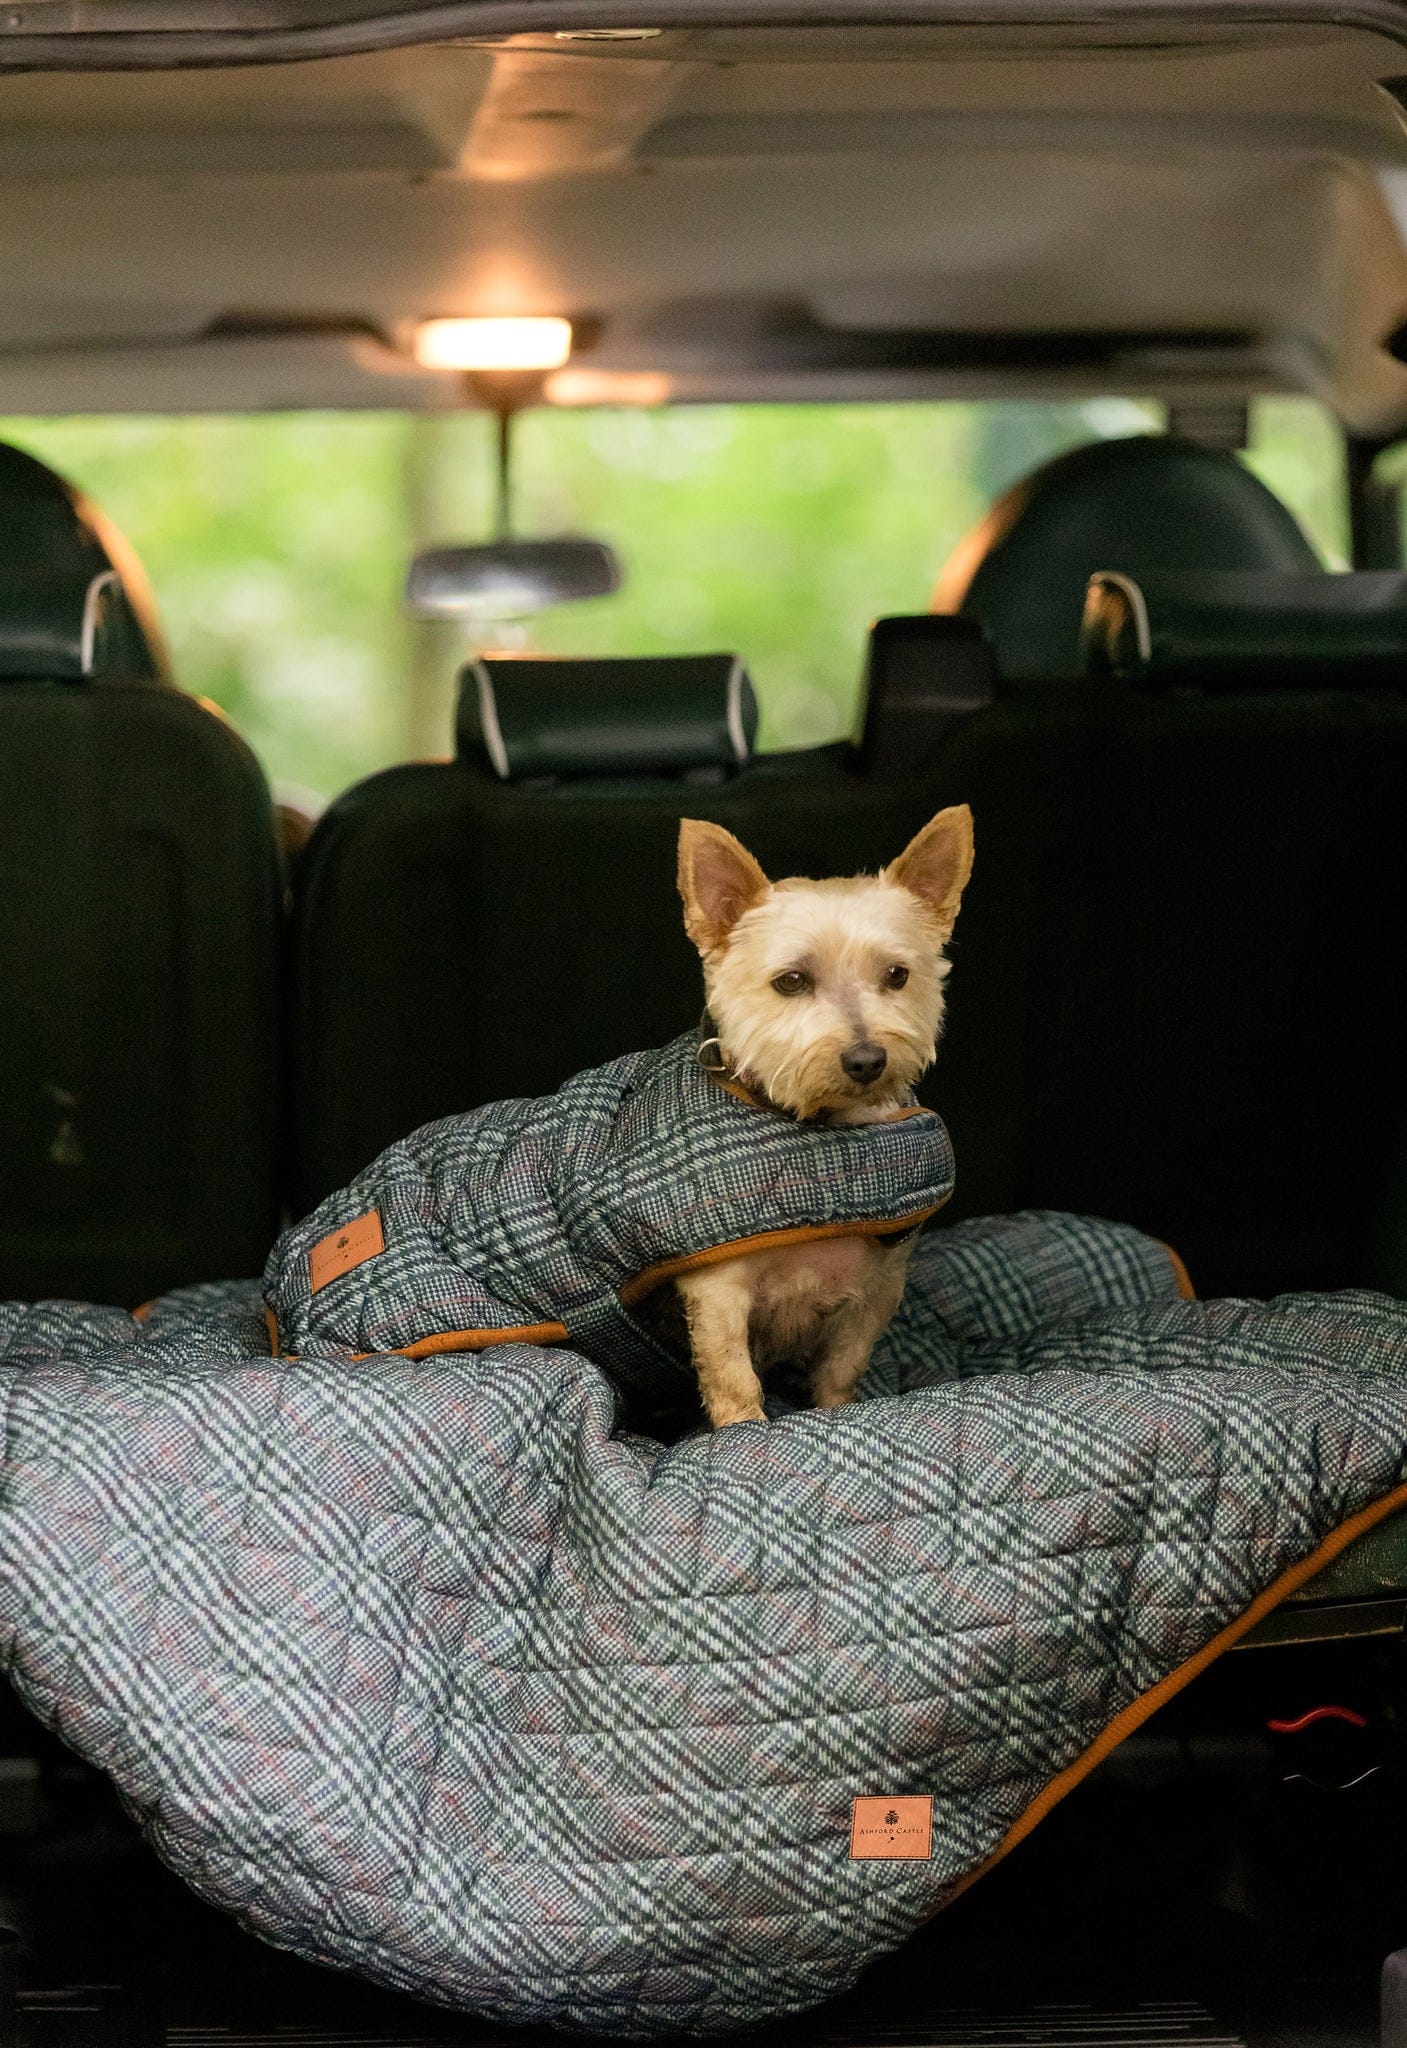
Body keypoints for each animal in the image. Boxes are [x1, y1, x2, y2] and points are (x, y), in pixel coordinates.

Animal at [673, 805, 973, 1427]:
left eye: (897, 976)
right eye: (791, 981)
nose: (867, 1060)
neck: (825, 1129)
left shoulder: (878, 1289)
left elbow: (843, 1366)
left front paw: (838, 1410)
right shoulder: (717, 1295)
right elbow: (732, 1374)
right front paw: (742, 1431)